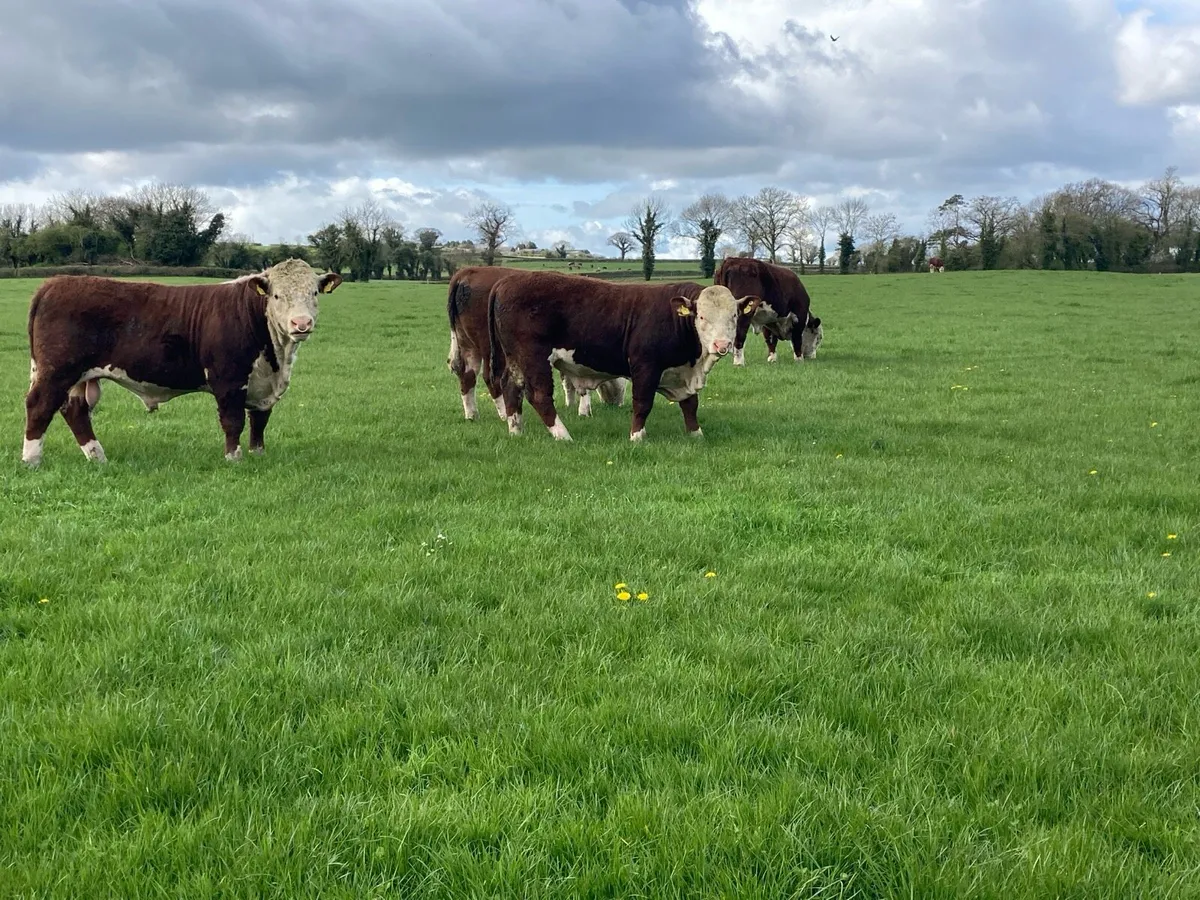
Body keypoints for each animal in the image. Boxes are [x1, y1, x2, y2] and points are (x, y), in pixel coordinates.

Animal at [22, 258, 341, 467]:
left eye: (314, 292)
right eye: (276, 295)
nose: (301, 323)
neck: (276, 357)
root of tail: (55, 282)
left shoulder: (263, 383)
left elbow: (259, 420)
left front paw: (258, 454)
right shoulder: (228, 378)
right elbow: (233, 420)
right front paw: (234, 459)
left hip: (77, 376)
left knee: (74, 410)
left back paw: (97, 457)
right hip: (56, 371)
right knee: (39, 405)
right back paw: (32, 460)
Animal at [448, 265, 629, 420]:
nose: (617, 404)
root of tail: (467, 272)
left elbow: (568, 381)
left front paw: (571, 405)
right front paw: (584, 410)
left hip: (466, 342)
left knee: (466, 373)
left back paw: (472, 414)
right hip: (490, 347)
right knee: (491, 377)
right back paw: (504, 414)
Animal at [487, 271, 760, 441]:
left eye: (734, 316)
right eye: (701, 316)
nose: (721, 344)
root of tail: (505, 282)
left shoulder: (682, 372)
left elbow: (690, 404)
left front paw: (696, 434)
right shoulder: (645, 366)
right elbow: (643, 403)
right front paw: (637, 436)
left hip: (515, 359)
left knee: (511, 387)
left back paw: (516, 431)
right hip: (534, 357)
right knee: (539, 395)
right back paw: (563, 436)